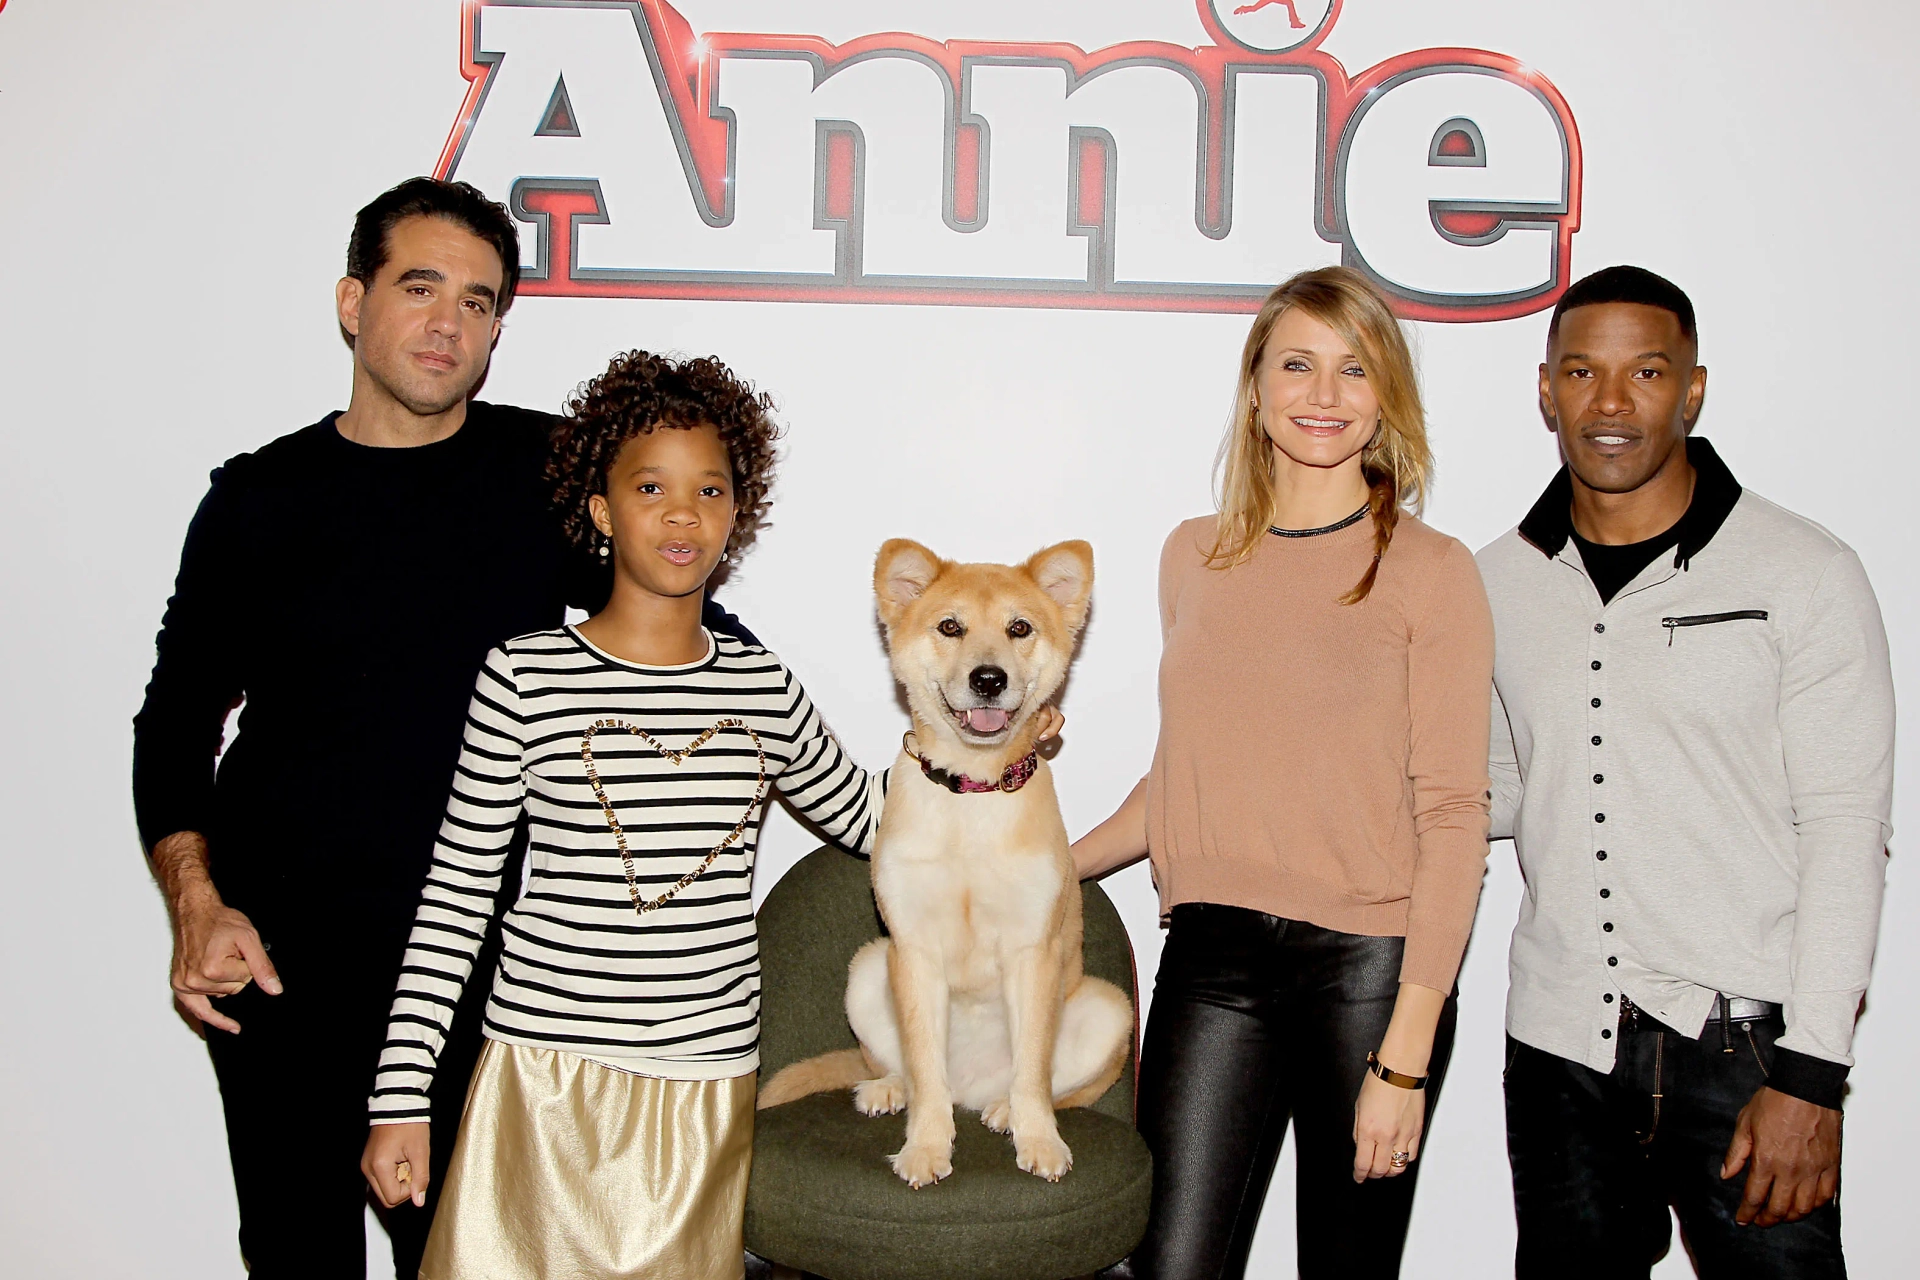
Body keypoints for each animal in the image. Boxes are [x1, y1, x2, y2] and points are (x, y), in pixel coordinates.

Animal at [756, 541, 1128, 1189]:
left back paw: (1005, 1110)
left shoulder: (1034, 952)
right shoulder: (912, 950)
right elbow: (926, 1070)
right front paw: (926, 1147)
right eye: (950, 627)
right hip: (867, 967)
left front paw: (1038, 1139)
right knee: (910, 1071)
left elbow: (1034, 1070)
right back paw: (890, 1090)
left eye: (1019, 628)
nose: (988, 680)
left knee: (1053, 1087)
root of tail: (972, 1093)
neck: (970, 794)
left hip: (1109, 1008)